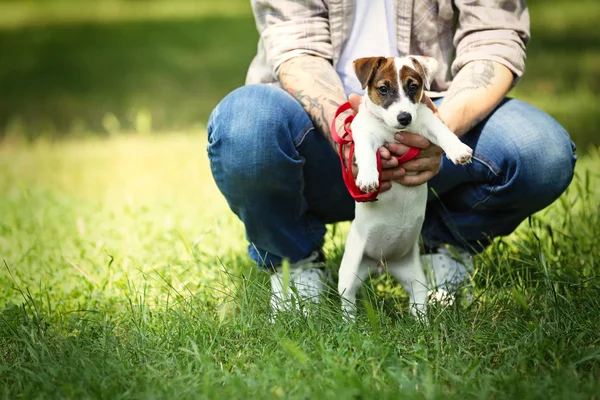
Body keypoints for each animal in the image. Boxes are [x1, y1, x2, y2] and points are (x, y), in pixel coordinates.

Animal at [338, 56, 474, 318]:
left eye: (413, 86)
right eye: (383, 89)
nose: (404, 118)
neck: (393, 131)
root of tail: (382, 264)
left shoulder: (427, 121)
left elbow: (443, 132)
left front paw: (458, 149)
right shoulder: (365, 135)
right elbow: (366, 154)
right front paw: (368, 177)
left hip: (416, 279)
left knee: (417, 301)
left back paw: (422, 322)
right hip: (349, 274)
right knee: (347, 301)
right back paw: (349, 322)